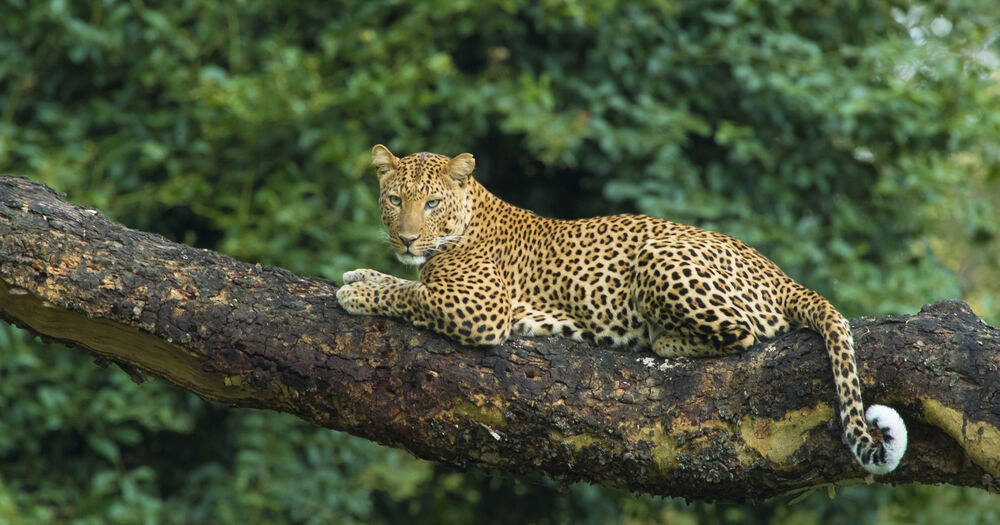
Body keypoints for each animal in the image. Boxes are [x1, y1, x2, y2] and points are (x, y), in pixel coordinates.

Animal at [336, 144, 907, 475]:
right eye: (394, 199)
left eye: (431, 203)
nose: (407, 238)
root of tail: (782, 276)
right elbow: (403, 282)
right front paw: (359, 275)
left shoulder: (478, 308)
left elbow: (411, 296)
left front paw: (356, 294)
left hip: (661, 258)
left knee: (743, 334)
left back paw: (660, 339)